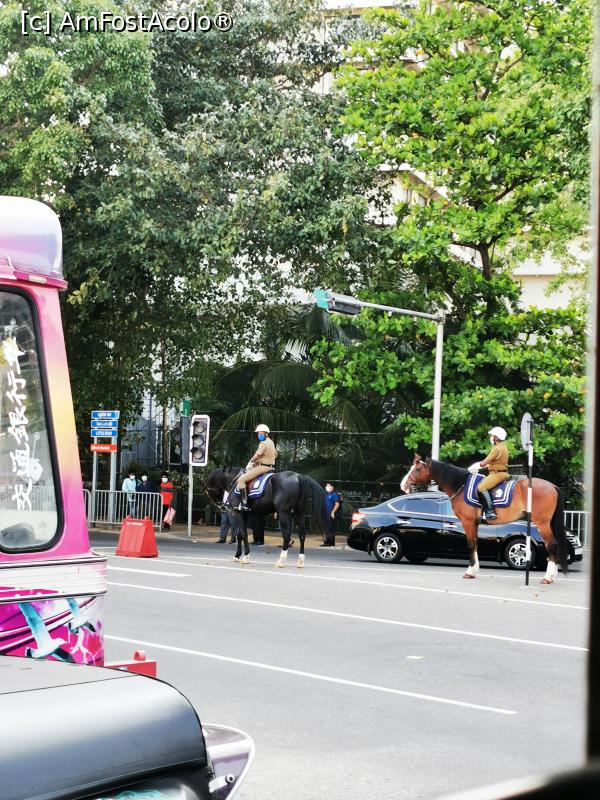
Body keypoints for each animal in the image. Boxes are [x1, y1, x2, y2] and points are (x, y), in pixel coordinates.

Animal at [402, 454, 569, 584]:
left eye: (418, 469)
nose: (403, 485)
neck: (461, 485)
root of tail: (552, 486)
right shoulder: (474, 523)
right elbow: (475, 544)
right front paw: (474, 570)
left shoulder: (467, 522)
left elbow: (470, 544)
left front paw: (469, 572)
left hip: (543, 524)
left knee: (552, 545)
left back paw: (548, 577)